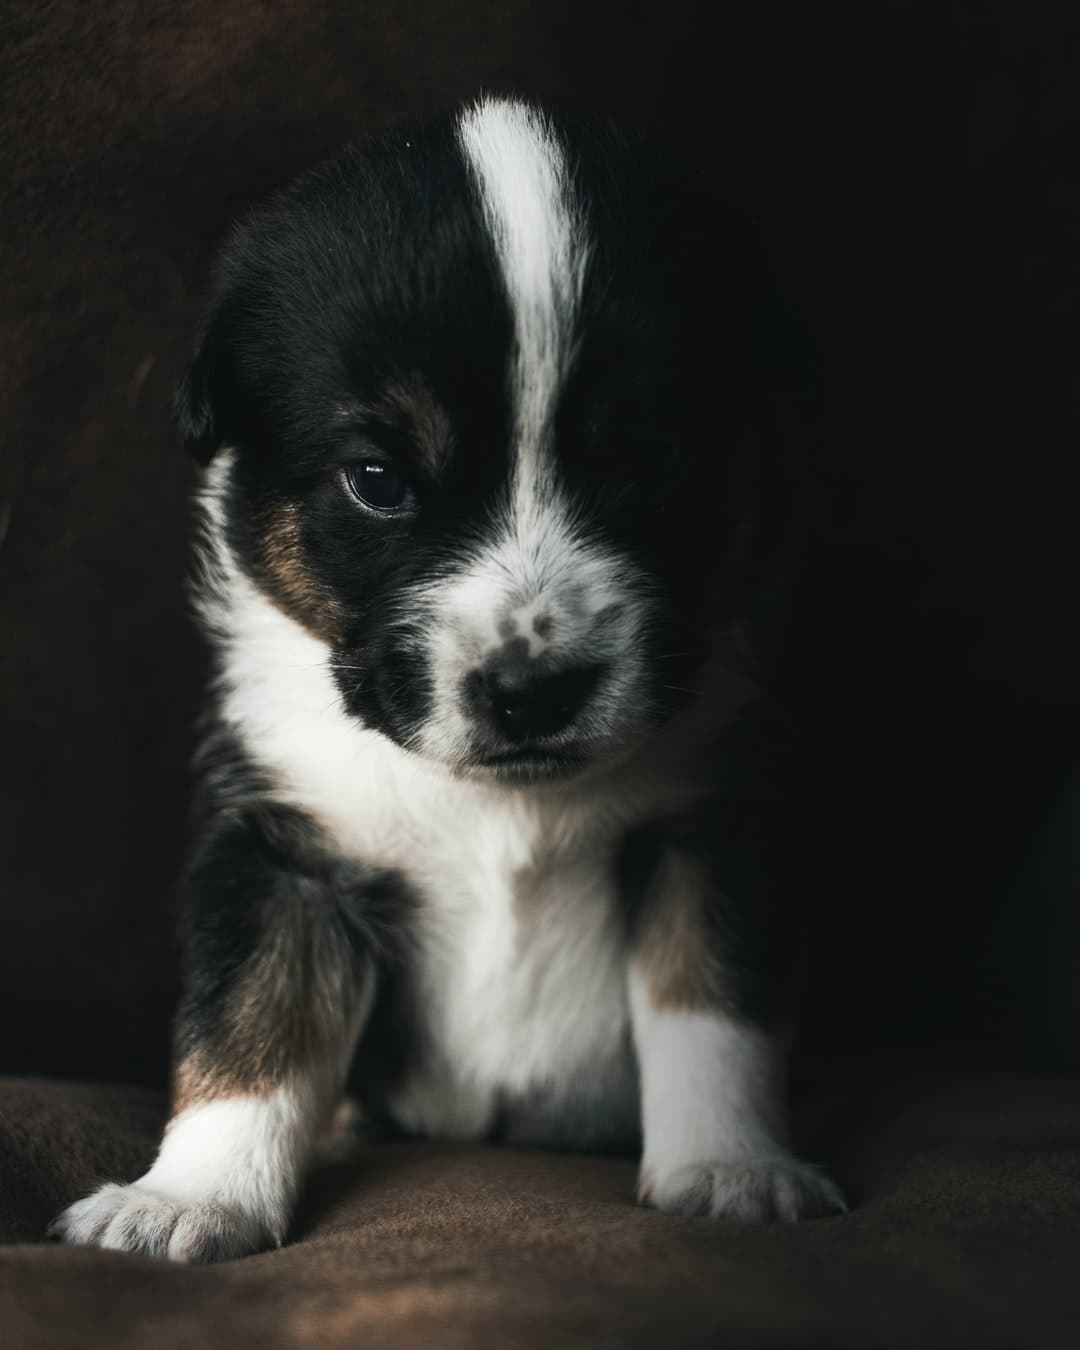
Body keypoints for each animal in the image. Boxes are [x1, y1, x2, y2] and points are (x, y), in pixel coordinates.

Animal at [50, 97, 842, 1263]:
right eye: (377, 481)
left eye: (653, 459)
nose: (533, 690)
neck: (496, 800)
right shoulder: (283, 841)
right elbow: (248, 1020)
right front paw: (189, 1198)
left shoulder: (710, 822)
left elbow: (713, 1002)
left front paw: (730, 1167)